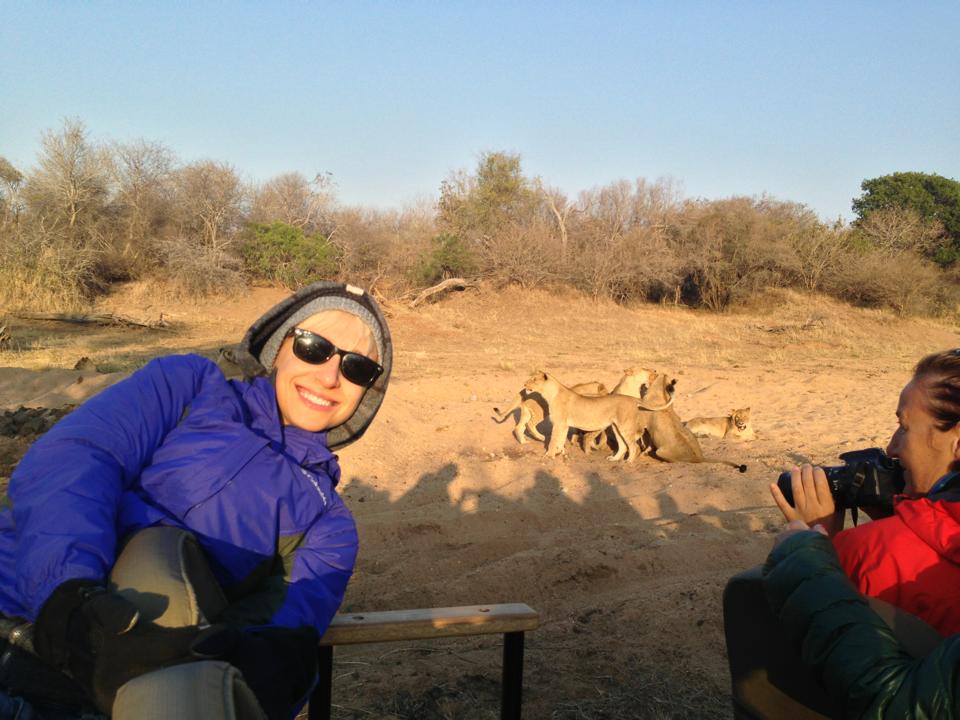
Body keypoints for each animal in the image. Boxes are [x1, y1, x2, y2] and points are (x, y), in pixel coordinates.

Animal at [520, 368, 672, 464]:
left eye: (534, 379)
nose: (524, 383)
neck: (550, 394)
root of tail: (632, 399)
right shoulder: (563, 425)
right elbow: (561, 440)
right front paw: (560, 453)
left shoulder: (559, 424)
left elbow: (553, 441)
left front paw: (549, 455)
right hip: (616, 427)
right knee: (623, 445)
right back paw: (614, 459)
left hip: (625, 426)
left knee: (633, 446)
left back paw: (628, 461)